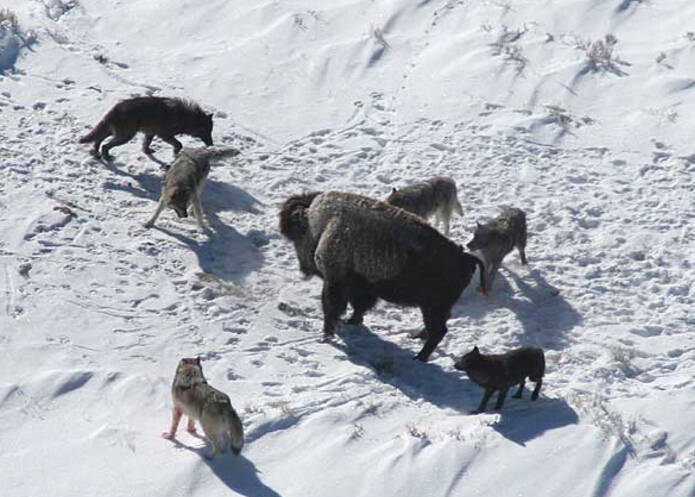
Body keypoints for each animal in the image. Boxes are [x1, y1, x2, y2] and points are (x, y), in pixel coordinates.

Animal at [79, 96, 215, 158]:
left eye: (211, 131)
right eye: (206, 131)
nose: (211, 144)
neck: (185, 118)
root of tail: (115, 109)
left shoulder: (150, 133)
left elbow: (146, 144)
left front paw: (147, 151)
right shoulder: (164, 135)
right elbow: (179, 144)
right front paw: (175, 154)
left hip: (114, 132)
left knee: (98, 139)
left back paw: (96, 152)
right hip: (125, 136)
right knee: (105, 145)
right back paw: (107, 157)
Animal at [276, 190, 484, 360]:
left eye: (296, 237)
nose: (304, 269)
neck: (320, 224)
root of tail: (465, 258)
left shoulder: (335, 282)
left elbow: (332, 307)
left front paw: (327, 335)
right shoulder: (362, 287)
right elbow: (359, 307)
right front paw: (352, 322)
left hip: (432, 308)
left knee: (438, 331)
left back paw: (419, 357)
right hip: (434, 308)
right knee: (436, 329)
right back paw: (416, 338)